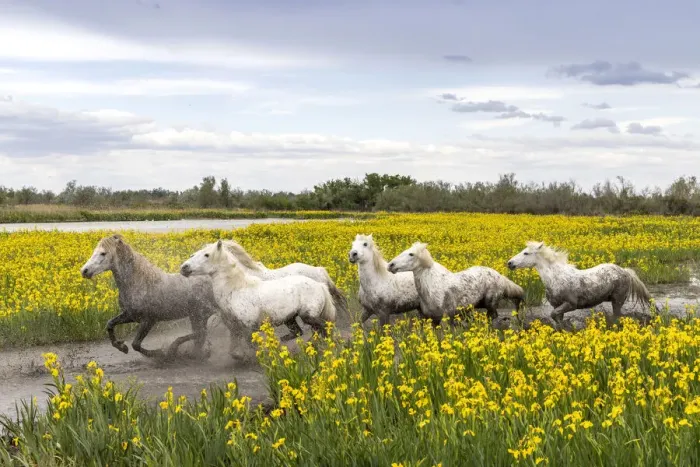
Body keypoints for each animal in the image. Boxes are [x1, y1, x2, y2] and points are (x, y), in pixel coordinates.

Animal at [80, 234, 218, 360]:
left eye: (103, 253)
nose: (84, 271)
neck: (139, 283)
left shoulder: (149, 320)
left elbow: (136, 344)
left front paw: (158, 353)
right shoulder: (130, 315)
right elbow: (109, 324)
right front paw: (122, 347)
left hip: (201, 313)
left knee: (200, 333)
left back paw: (174, 351)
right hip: (195, 315)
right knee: (200, 335)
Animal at [180, 240, 337, 351]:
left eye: (206, 255)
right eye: (193, 254)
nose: (184, 268)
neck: (236, 289)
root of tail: (320, 285)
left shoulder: (248, 324)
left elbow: (250, 344)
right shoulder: (234, 324)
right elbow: (237, 341)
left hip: (308, 315)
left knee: (324, 328)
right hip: (290, 318)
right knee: (302, 331)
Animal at [387, 242, 524, 326]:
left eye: (411, 254)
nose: (390, 265)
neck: (433, 286)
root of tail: (499, 276)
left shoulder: (445, 318)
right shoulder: (431, 319)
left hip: (491, 304)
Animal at [507, 241, 658, 325]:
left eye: (526, 253)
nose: (510, 263)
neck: (556, 278)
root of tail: (625, 271)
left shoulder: (571, 304)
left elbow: (554, 316)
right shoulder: (557, 305)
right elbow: (557, 319)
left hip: (618, 300)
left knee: (618, 317)